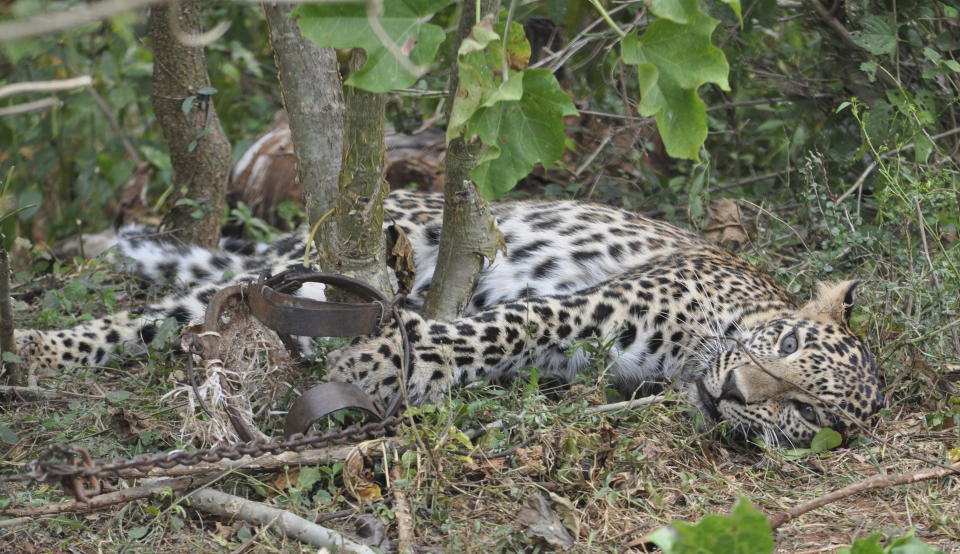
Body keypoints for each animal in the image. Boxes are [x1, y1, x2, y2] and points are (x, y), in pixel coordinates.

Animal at [11, 188, 884, 446]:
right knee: (159, 314)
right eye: (785, 341)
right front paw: (379, 356)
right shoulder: (606, 302)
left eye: (807, 413)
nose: (737, 392)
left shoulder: (585, 360)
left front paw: (393, 362)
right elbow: (508, 323)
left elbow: (491, 343)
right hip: (324, 250)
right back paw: (38, 349)